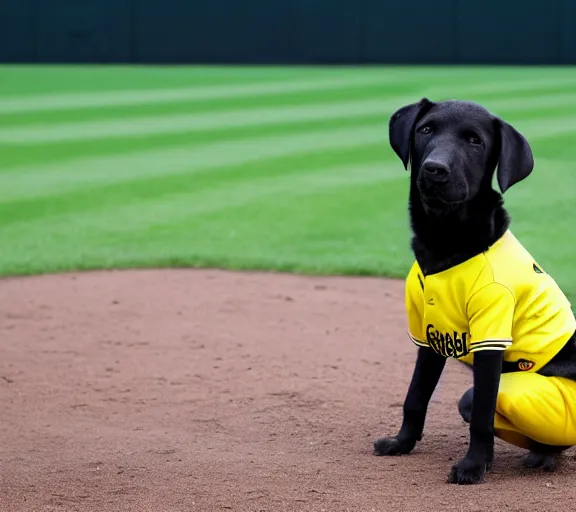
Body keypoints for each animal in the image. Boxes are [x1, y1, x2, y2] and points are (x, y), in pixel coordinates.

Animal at [374, 99, 576, 484]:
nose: (435, 169)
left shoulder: (490, 340)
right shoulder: (427, 336)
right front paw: (402, 442)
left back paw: (543, 454)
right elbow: (415, 397)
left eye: (475, 142)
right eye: (425, 130)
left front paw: (474, 464)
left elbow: (482, 413)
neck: (444, 241)